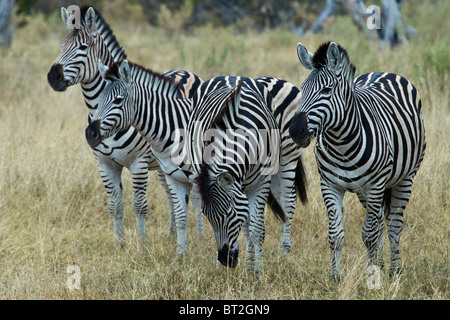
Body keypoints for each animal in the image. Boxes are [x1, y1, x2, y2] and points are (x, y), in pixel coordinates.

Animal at [46, 6, 204, 246]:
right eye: (61, 45)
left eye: (83, 47)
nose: (52, 77)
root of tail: (185, 71)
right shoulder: (104, 164)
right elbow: (115, 205)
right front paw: (119, 244)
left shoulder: (139, 162)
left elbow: (139, 205)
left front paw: (142, 244)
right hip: (163, 165)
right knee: (171, 196)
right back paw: (171, 235)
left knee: (195, 196)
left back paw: (199, 237)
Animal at [85, 59, 308, 262]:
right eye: (100, 100)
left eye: (118, 100)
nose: (90, 133)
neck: (172, 125)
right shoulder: (172, 173)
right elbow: (183, 214)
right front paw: (181, 255)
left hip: (288, 157)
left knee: (288, 201)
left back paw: (285, 250)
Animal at [288, 41, 426, 282]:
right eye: (302, 89)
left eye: (326, 90)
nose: (296, 131)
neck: (341, 144)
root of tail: (384, 72)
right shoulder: (330, 185)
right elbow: (336, 235)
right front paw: (336, 278)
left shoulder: (376, 185)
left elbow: (368, 234)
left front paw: (372, 276)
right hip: (366, 192)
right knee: (379, 221)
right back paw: (380, 263)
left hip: (404, 178)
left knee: (394, 224)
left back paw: (394, 270)